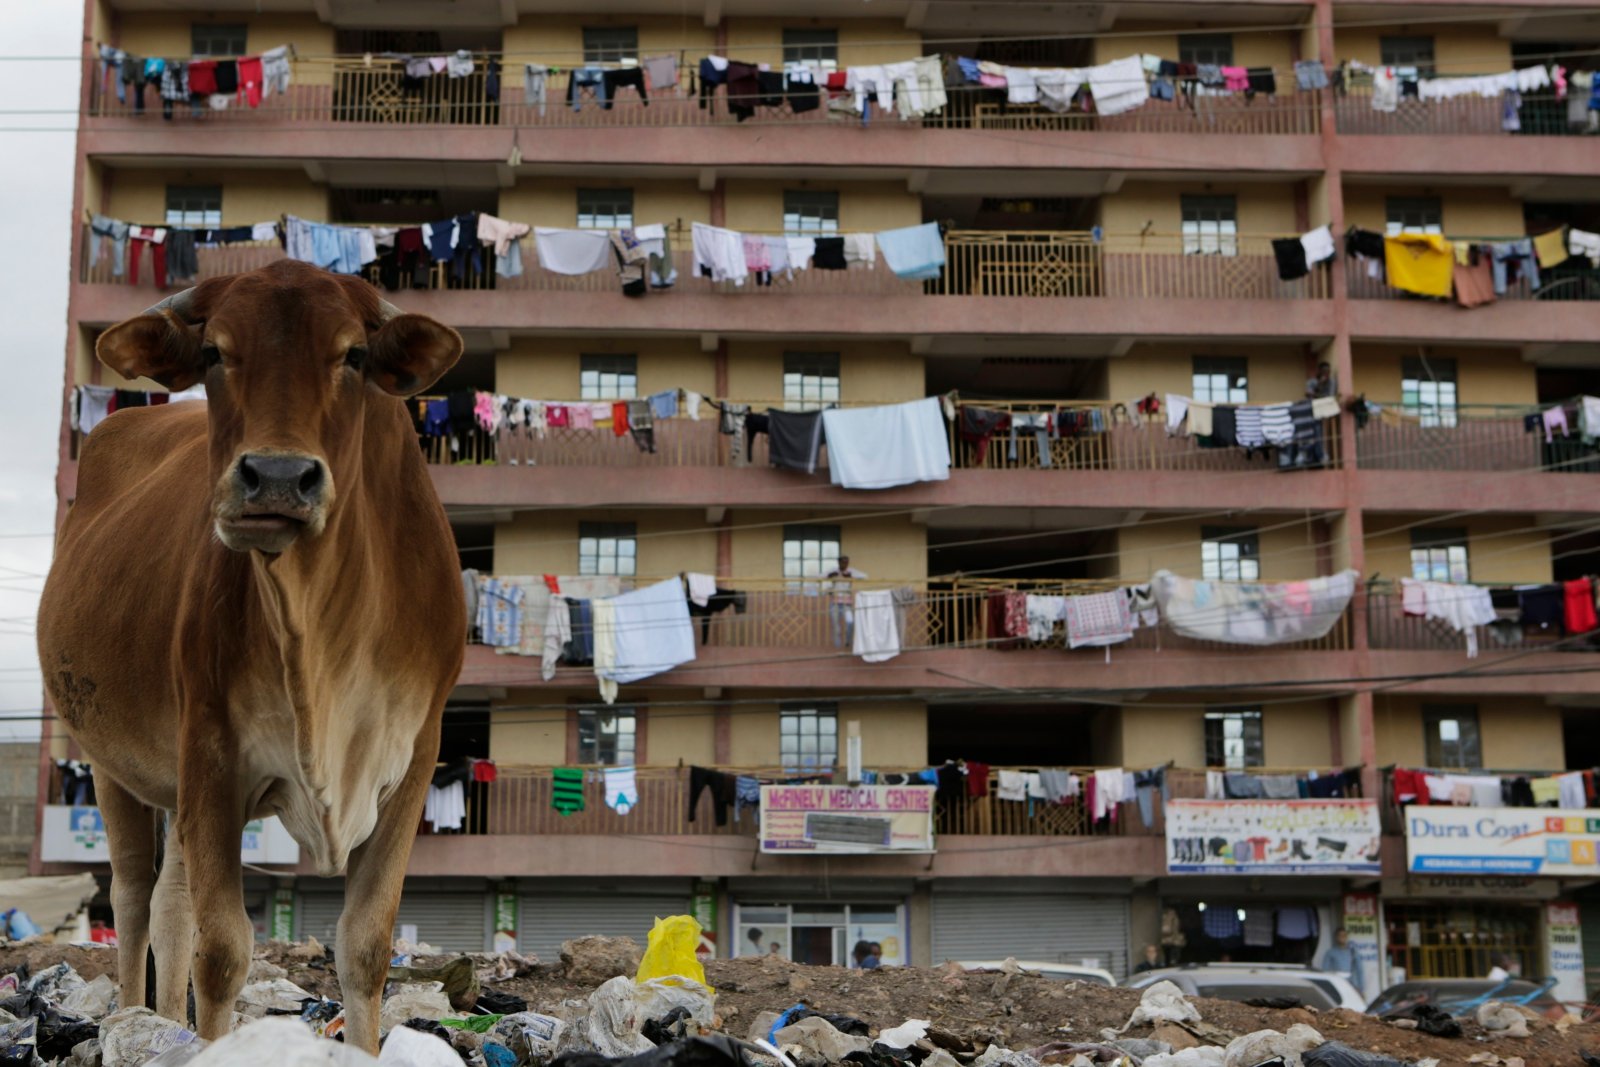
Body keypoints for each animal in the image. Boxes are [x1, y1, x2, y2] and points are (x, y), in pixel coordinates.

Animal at [36, 260, 464, 1049]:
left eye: (354, 355)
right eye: (214, 353)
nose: (276, 476)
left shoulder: (414, 756)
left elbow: (365, 944)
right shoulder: (212, 749)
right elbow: (224, 952)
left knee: (170, 904)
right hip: (113, 761)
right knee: (134, 896)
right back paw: (131, 1020)